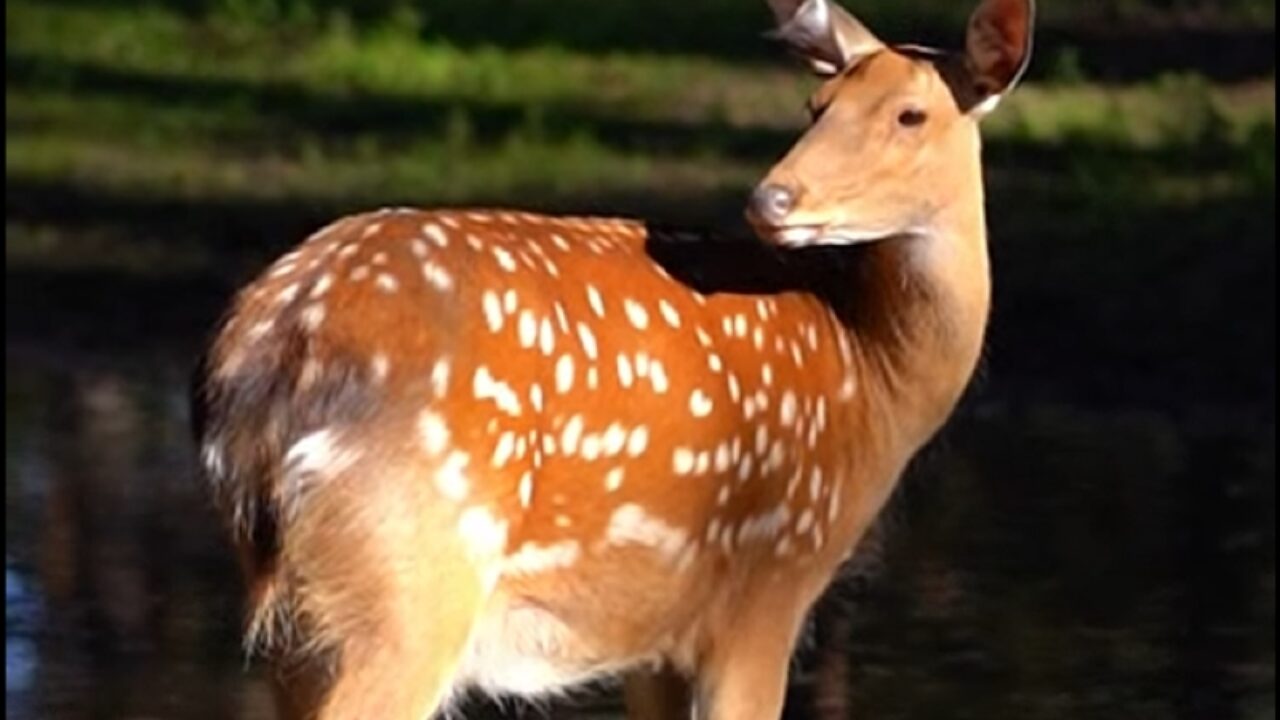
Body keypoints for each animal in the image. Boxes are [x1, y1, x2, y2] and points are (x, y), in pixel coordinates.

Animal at [186, 0, 1029, 712]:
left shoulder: (659, 638)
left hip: (297, 615)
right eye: (815, 107)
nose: (772, 200)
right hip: (411, 578)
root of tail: (273, 355)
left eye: (911, 114)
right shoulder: (768, 580)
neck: (872, 377)